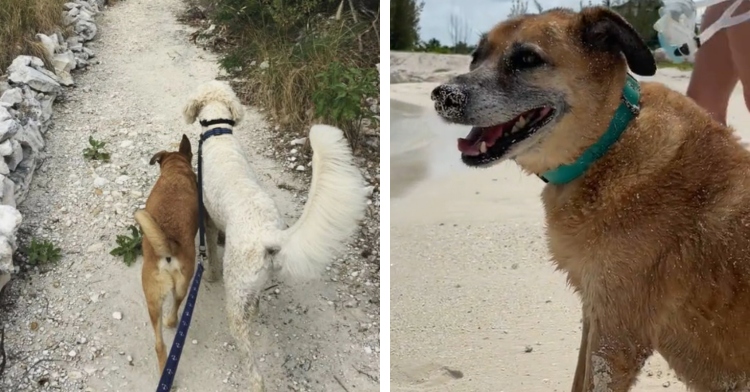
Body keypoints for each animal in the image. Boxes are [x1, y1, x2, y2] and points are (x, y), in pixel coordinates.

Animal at [135, 136, 198, 374]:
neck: (175, 170)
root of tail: (169, 247)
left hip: (153, 300)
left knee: (159, 344)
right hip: (181, 287)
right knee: (173, 314)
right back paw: (173, 322)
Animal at [184, 81, 368, 390]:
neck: (218, 133)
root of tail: (270, 236)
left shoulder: (207, 216)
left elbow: (210, 248)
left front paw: (209, 275)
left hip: (236, 287)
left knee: (248, 353)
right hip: (252, 283)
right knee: (254, 307)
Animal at [432, 6, 750, 392]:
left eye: (527, 59)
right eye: (476, 57)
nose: (443, 95)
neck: (608, 142)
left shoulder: (616, 337)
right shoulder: (593, 312)